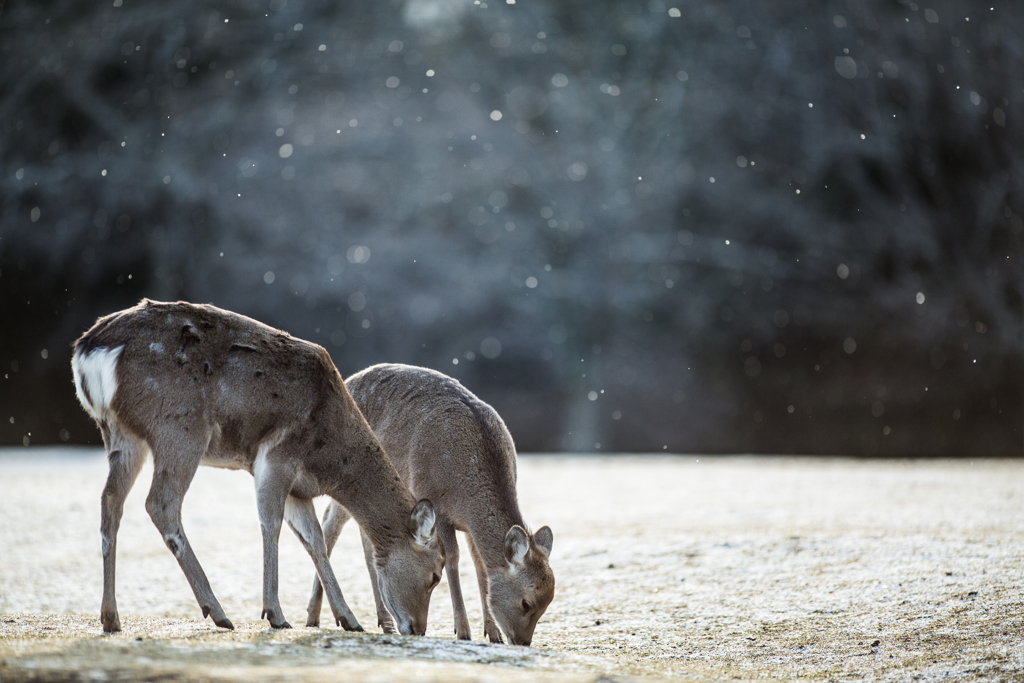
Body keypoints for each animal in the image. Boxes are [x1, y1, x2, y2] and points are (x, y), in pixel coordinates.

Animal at [68, 301, 444, 634]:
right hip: (179, 428)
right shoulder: (276, 455)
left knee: (110, 501)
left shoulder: (298, 489)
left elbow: (314, 540)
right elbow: (270, 524)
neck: (329, 460)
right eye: (436, 574)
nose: (418, 629)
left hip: (120, 434)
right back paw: (218, 611)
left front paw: (349, 619)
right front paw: (276, 614)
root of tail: (87, 351)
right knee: (160, 504)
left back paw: (110, 617)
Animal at [307, 362, 557, 647]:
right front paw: (463, 631)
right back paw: (315, 616)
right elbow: (452, 558)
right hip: (349, 473)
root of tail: (348, 380)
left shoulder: (469, 527)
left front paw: (492, 634)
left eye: (548, 602)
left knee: (367, 539)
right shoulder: (437, 503)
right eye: (526, 602)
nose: (522, 642)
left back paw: (384, 621)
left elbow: (479, 563)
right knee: (330, 523)